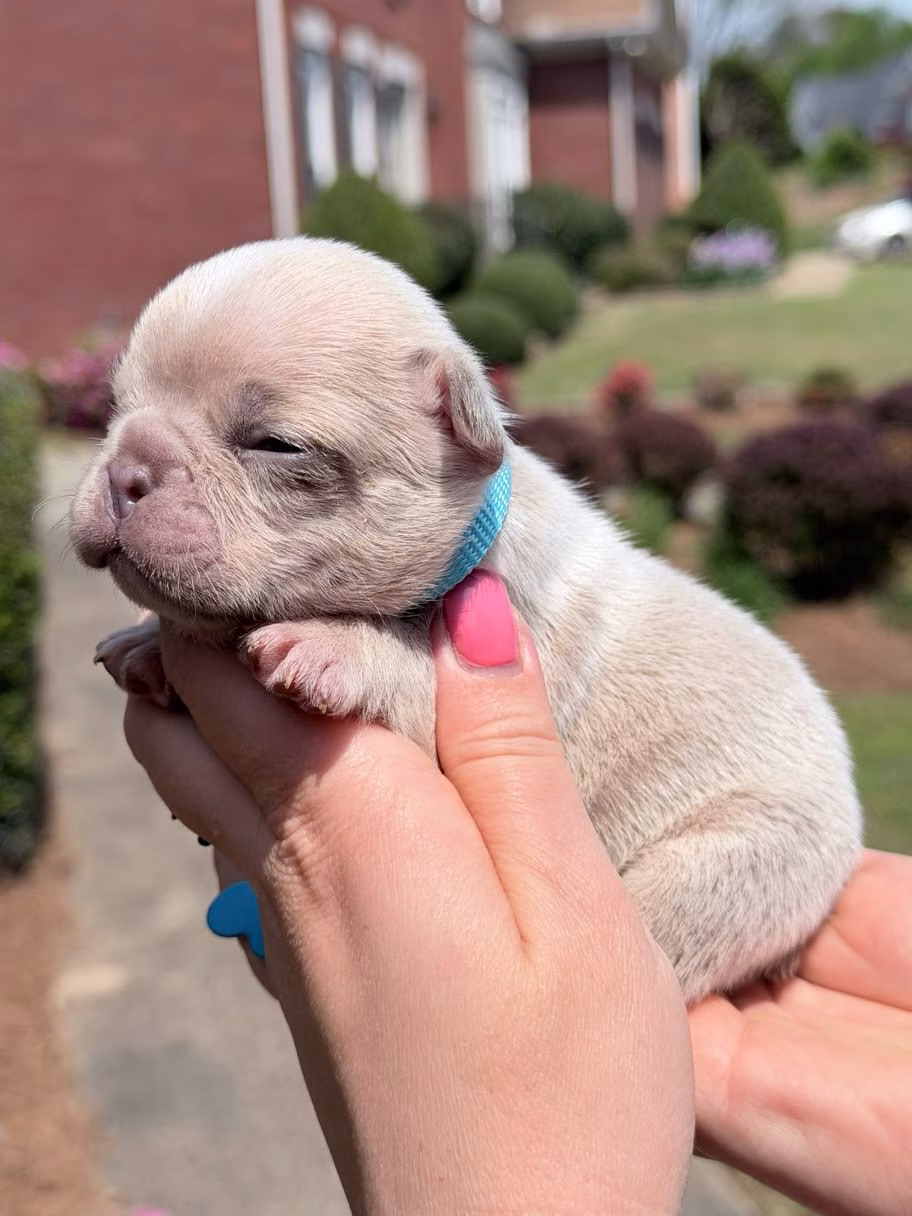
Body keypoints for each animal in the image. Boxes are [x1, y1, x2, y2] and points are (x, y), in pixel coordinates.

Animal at [69, 237, 862, 1004]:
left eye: (274, 444)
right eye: (112, 405)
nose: (127, 469)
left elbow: (415, 666)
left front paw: (334, 647)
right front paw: (146, 644)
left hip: (735, 864)